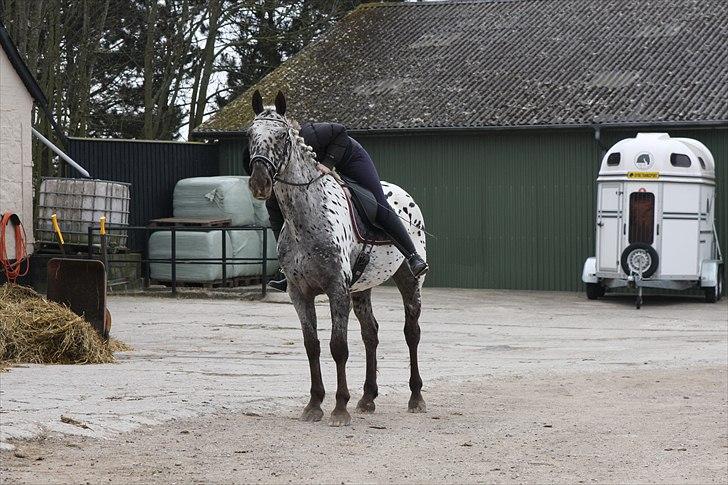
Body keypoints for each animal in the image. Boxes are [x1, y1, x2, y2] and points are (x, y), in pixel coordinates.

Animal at [247, 90, 426, 424]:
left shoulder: (336, 289)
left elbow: (338, 346)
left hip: (409, 280)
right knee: (371, 334)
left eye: (282, 136)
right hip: (363, 288)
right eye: (250, 135)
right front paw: (314, 404)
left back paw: (416, 396)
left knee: (412, 332)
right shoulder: (299, 293)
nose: (260, 182)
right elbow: (312, 346)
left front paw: (340, 407)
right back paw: (368, 398)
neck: (305, 218)